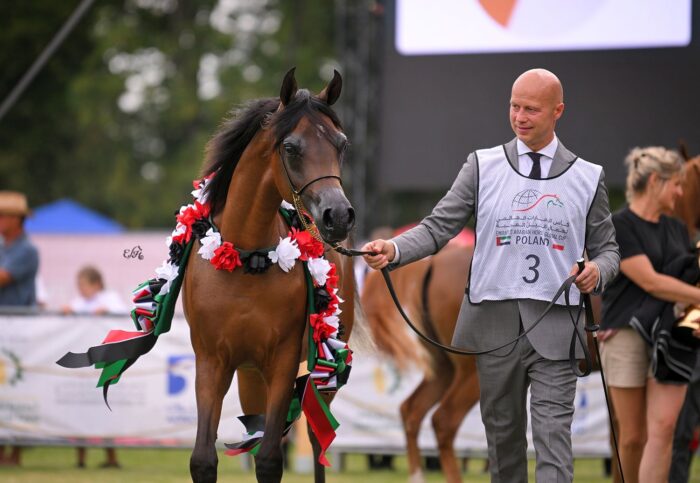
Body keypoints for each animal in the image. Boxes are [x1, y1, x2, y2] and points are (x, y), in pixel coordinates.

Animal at [181, 69, 356, 483]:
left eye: (341, 144)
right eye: (290, 147)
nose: (338, 216)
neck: (247, 260)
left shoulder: (282, 361)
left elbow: (270, 459)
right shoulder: (211, 360)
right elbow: (203, 459)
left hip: (323, 364)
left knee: (316, 437)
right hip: (248, 373)